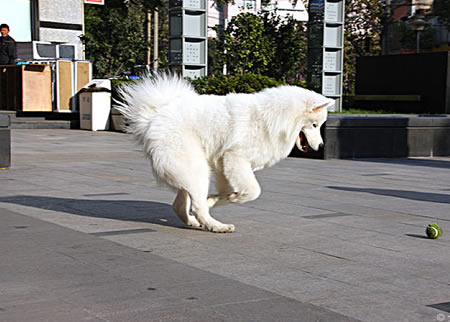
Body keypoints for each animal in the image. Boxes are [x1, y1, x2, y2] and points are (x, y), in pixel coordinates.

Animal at [118, 74, 332, 233]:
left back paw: (195, 222)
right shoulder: (236, 158)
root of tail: (154, 117)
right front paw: (223, 199)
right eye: (315, 125)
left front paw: (217, 199)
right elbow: (253, 191)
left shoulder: (224, 163)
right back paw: (216, 226)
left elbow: (228, 192)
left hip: (191, 170)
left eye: (320, 125)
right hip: (197, 169)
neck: (275, 118)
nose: (322, 146)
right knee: (196, 205)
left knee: (180, 204)